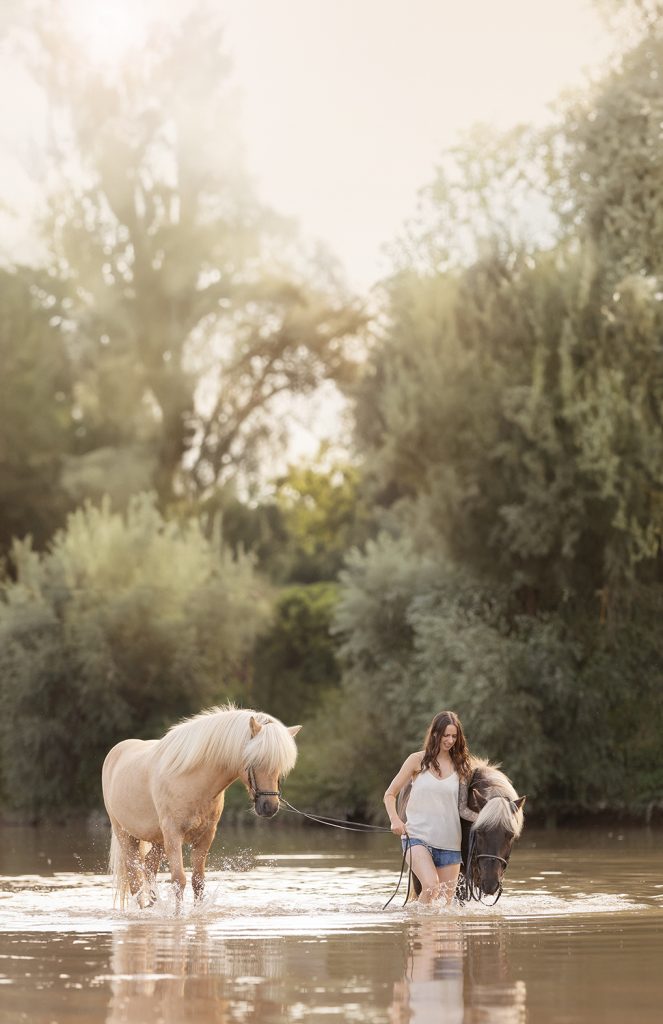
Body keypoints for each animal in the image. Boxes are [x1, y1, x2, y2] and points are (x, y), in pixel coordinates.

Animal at [101, 704, 301, 910]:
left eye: (281, 767)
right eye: (255, 760)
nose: (269, 807)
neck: (192, 781)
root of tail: (117, 751)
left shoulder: (205, 835)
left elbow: (198, 881)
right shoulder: (173, 834)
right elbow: (178, 880)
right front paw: (177, 915)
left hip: (158, 839)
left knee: (148, 866)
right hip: (125, 834)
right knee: (135, 877)